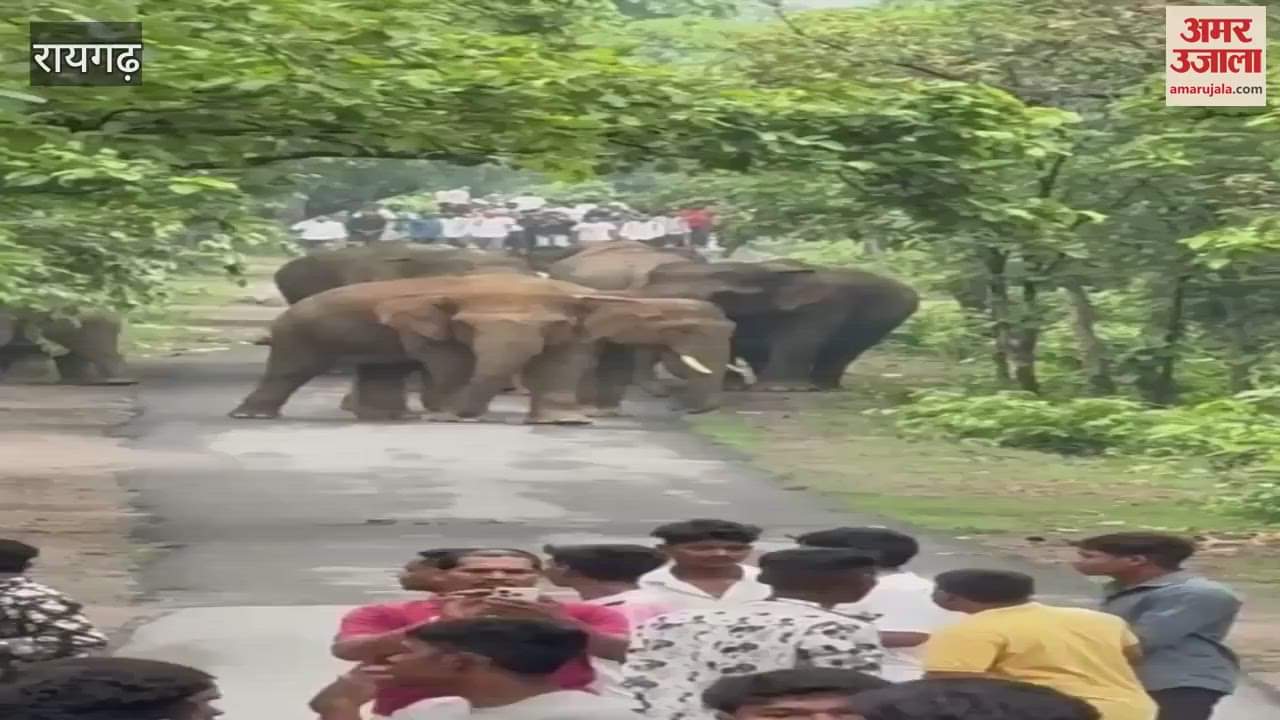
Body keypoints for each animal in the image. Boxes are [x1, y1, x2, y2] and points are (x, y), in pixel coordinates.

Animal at [229, 273, 733, 423]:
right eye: (687, 332)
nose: (688, 410)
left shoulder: (576, 324)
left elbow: (563, 363)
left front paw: (567, 422)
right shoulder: (433, 326)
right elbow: (451, 362)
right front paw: (447, 415)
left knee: (380, 369)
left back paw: (387, 418)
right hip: (298, 333)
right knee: (288, 371)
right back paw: (251, 416)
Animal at [548, 243, 919, 391]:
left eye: (714, 298)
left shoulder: (818, 309)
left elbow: (798, 340)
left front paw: (778, 390)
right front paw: (735, 383)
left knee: (843, 351)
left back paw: (818, 387)